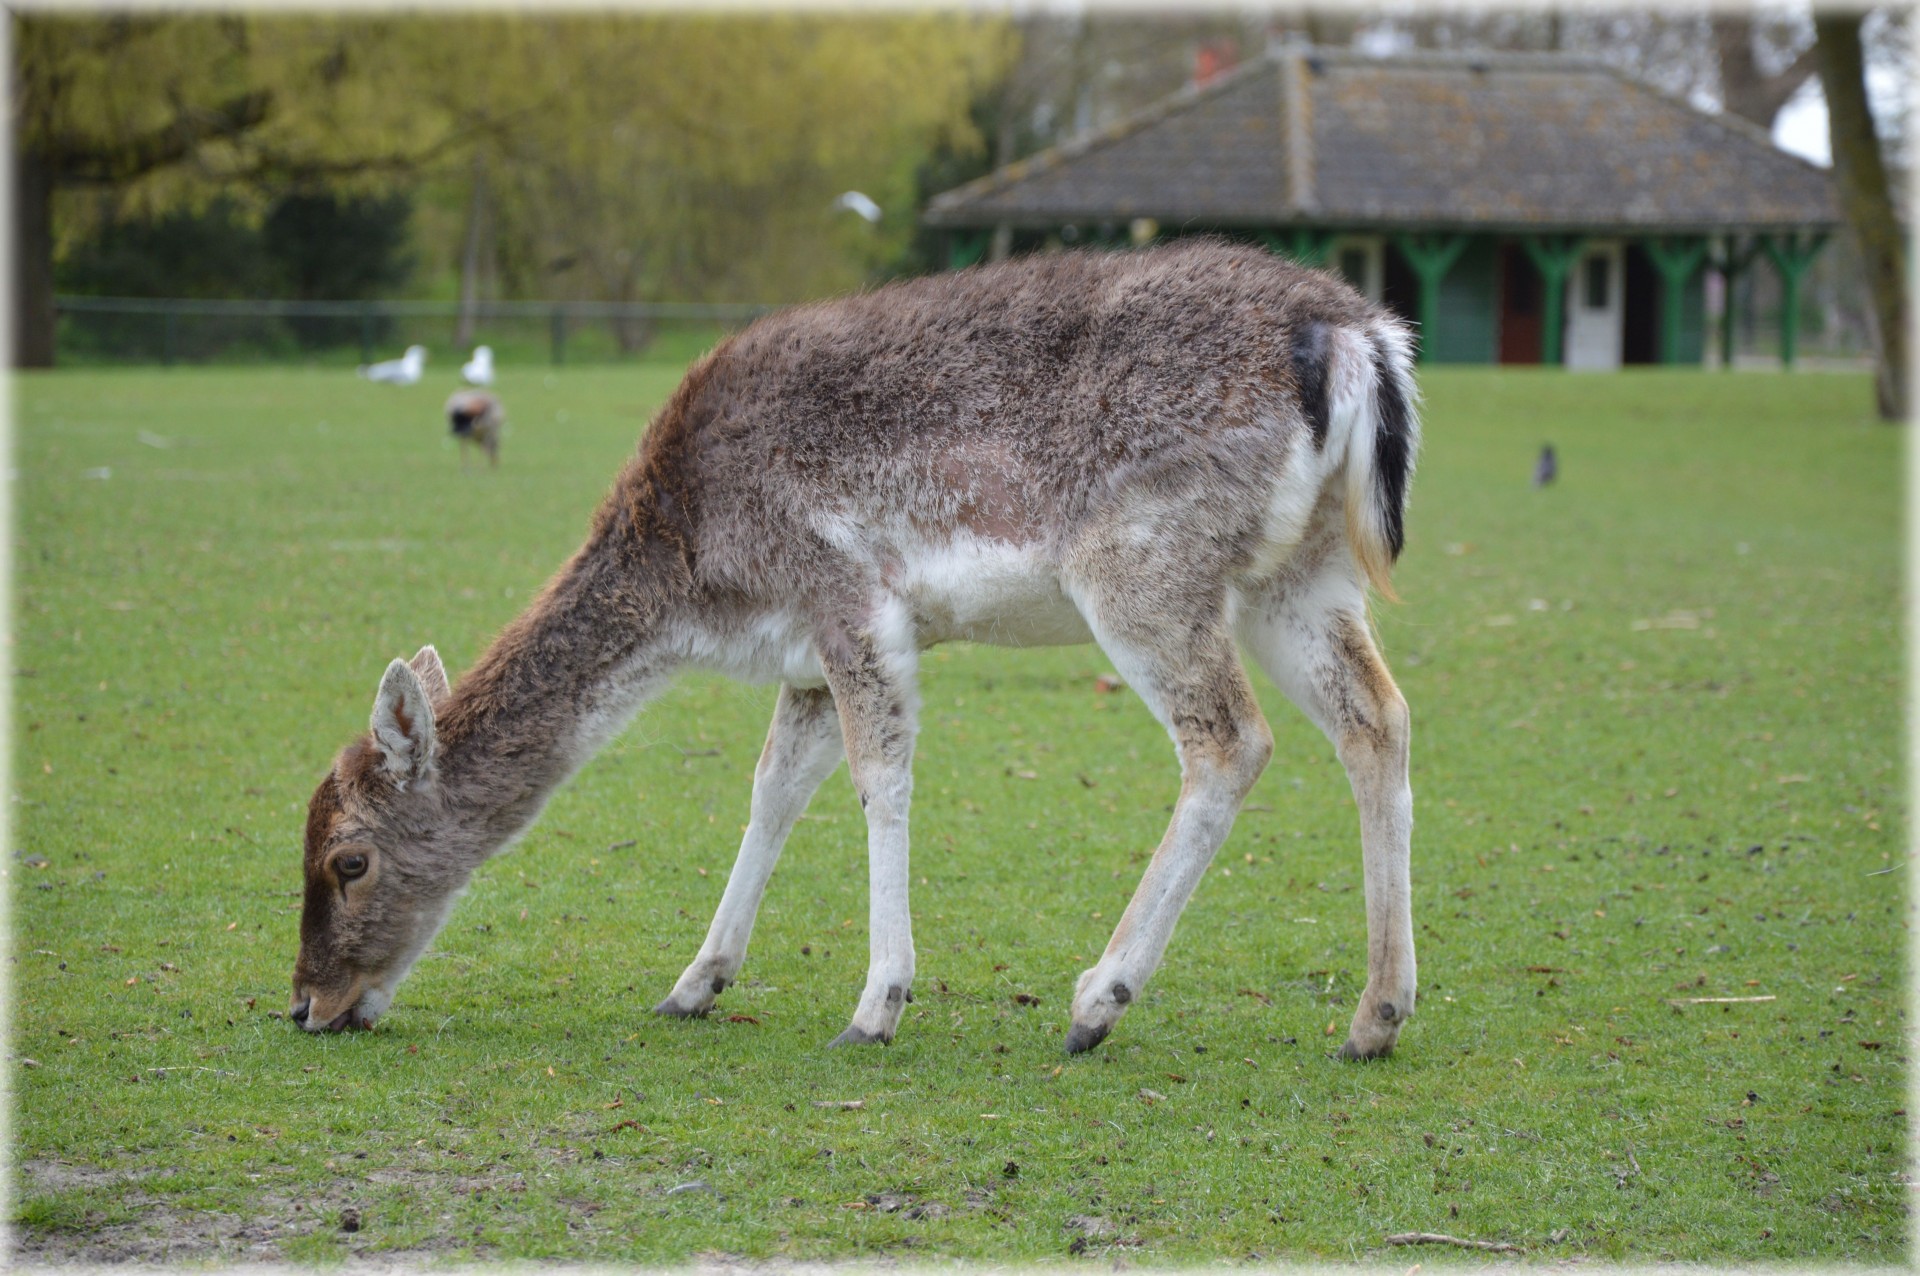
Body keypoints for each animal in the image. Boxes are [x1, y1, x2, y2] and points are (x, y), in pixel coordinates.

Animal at [291, 238, 1420, 1051]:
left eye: (348, 859)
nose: (305, 1004)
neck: (699, 581)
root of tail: (1358, 338)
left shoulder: (847, 593)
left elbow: (881, 778)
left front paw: (877, 1004)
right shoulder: (800, 653)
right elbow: (773, 788)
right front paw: (694, 983)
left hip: (1145, 566)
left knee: (1231, 741)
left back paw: (1097, 999)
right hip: (1300, 575)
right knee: (1379, 718)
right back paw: (1375, 1015)